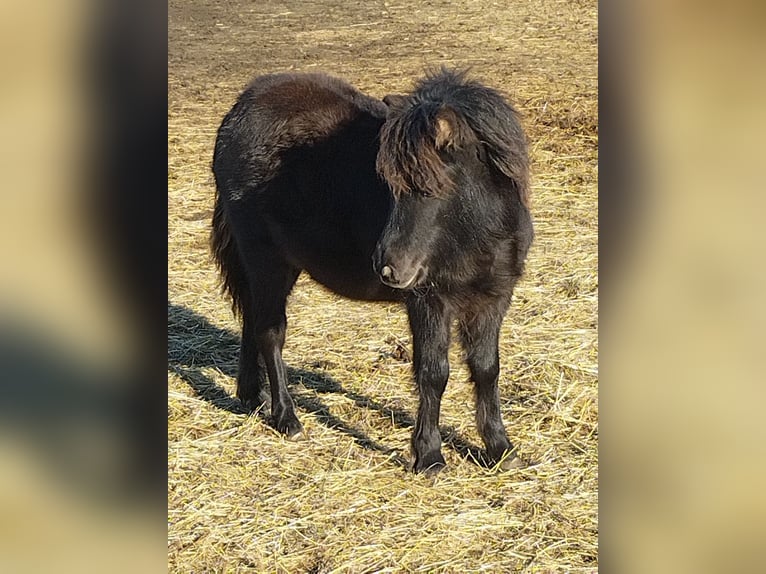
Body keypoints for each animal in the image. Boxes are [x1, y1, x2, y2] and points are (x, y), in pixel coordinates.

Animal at [212, 70, 536, 474]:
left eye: (432, 186)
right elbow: (434, 373)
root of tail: (239, 110)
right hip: (266, 259)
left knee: (250, 319)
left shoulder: (493, 298)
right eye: (391, 185)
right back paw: (287, 418)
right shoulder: (429, 301)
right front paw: (429, 456)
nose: (388, 266)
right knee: (269, 332)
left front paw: (500, 449)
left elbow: (487, 369)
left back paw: (251, 396)